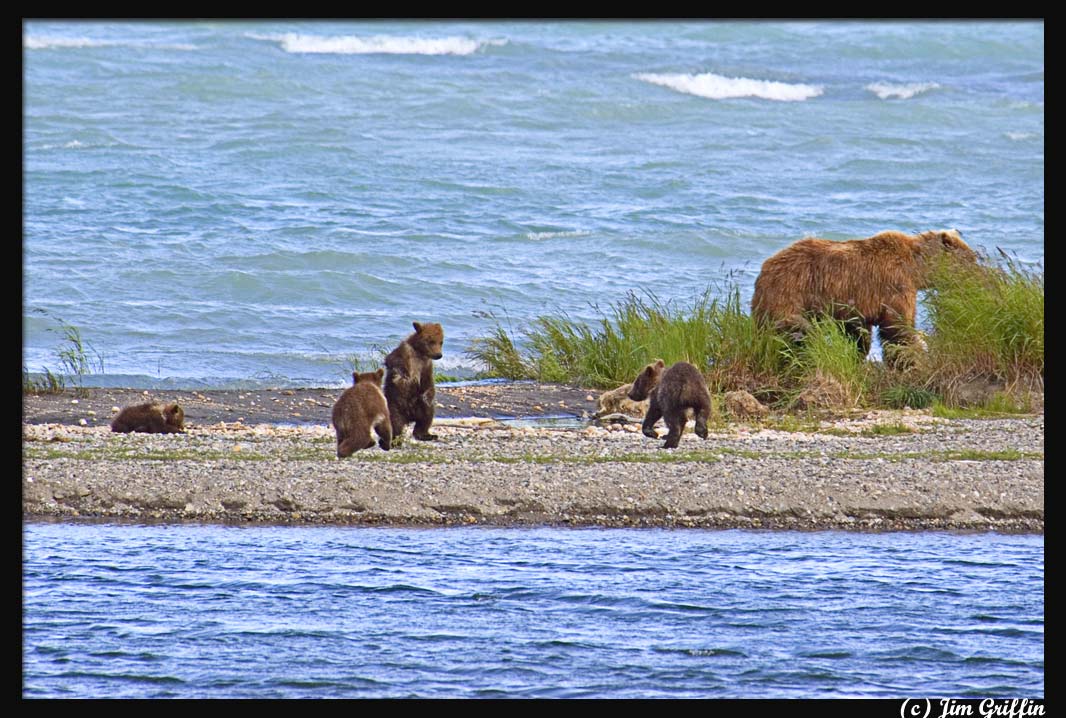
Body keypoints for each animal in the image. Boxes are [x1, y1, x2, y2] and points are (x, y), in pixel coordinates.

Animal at [750, 229, 976, 360]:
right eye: (971, 259)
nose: (979, 274)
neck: (916, 268)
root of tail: (765, 267)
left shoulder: (858, 305)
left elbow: (860, 335)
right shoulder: (895, 285)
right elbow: (898, 328)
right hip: (789, 290)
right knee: (795, 328)